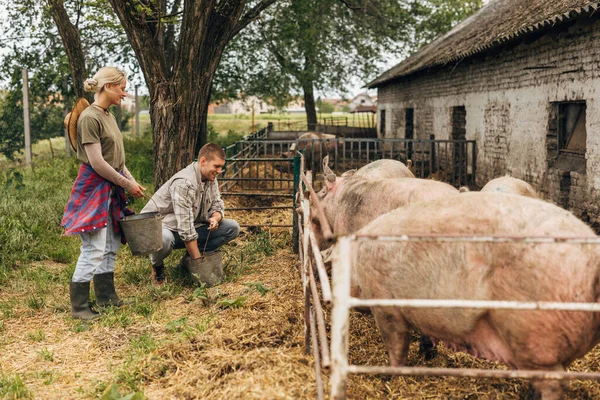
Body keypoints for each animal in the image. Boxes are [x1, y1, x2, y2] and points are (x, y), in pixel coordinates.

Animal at [352, 192, 600, 398]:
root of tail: (592, 264)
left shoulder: (384, 304)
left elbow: (396, 344)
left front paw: (389, 379)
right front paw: (427, 354)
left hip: (534, 330)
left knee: (554, 381)